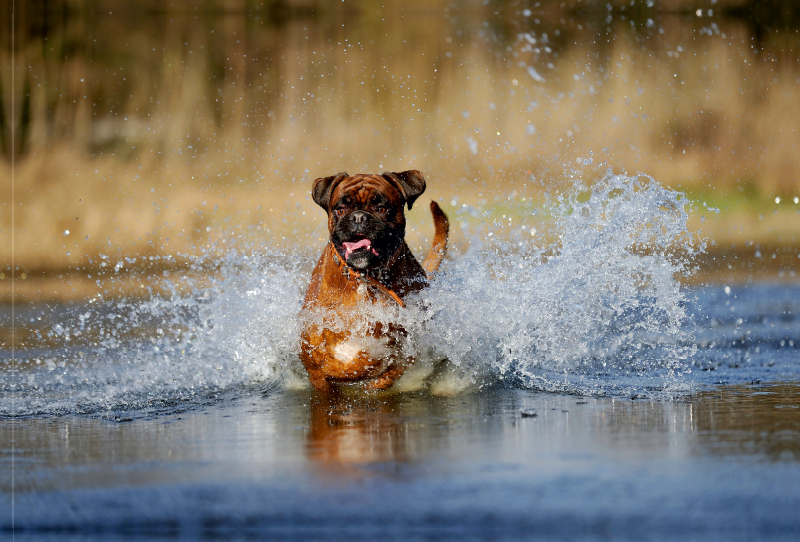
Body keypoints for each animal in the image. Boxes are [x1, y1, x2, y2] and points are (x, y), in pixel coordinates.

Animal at [300, 172, 450, 394]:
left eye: (381, 208)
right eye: (341, 209)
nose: (359, 217)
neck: (365, 276)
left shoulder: (405, 351)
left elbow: (389, 372)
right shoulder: (315, 363)